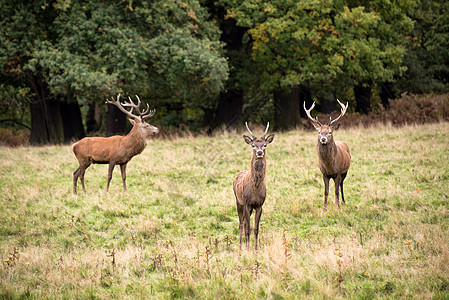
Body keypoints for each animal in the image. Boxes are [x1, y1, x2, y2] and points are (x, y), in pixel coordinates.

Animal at [233, 122, 274, 251]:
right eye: (253, 145)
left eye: (264, 145)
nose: (259, 152)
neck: (255, 189)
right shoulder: (246, 203)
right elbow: (248, 229)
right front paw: (247, 249)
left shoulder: (259, 205)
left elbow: (256, 229)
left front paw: (255, 249)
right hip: (238, 201)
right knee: (241, 224)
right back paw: (241, 247)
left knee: (245, 223)